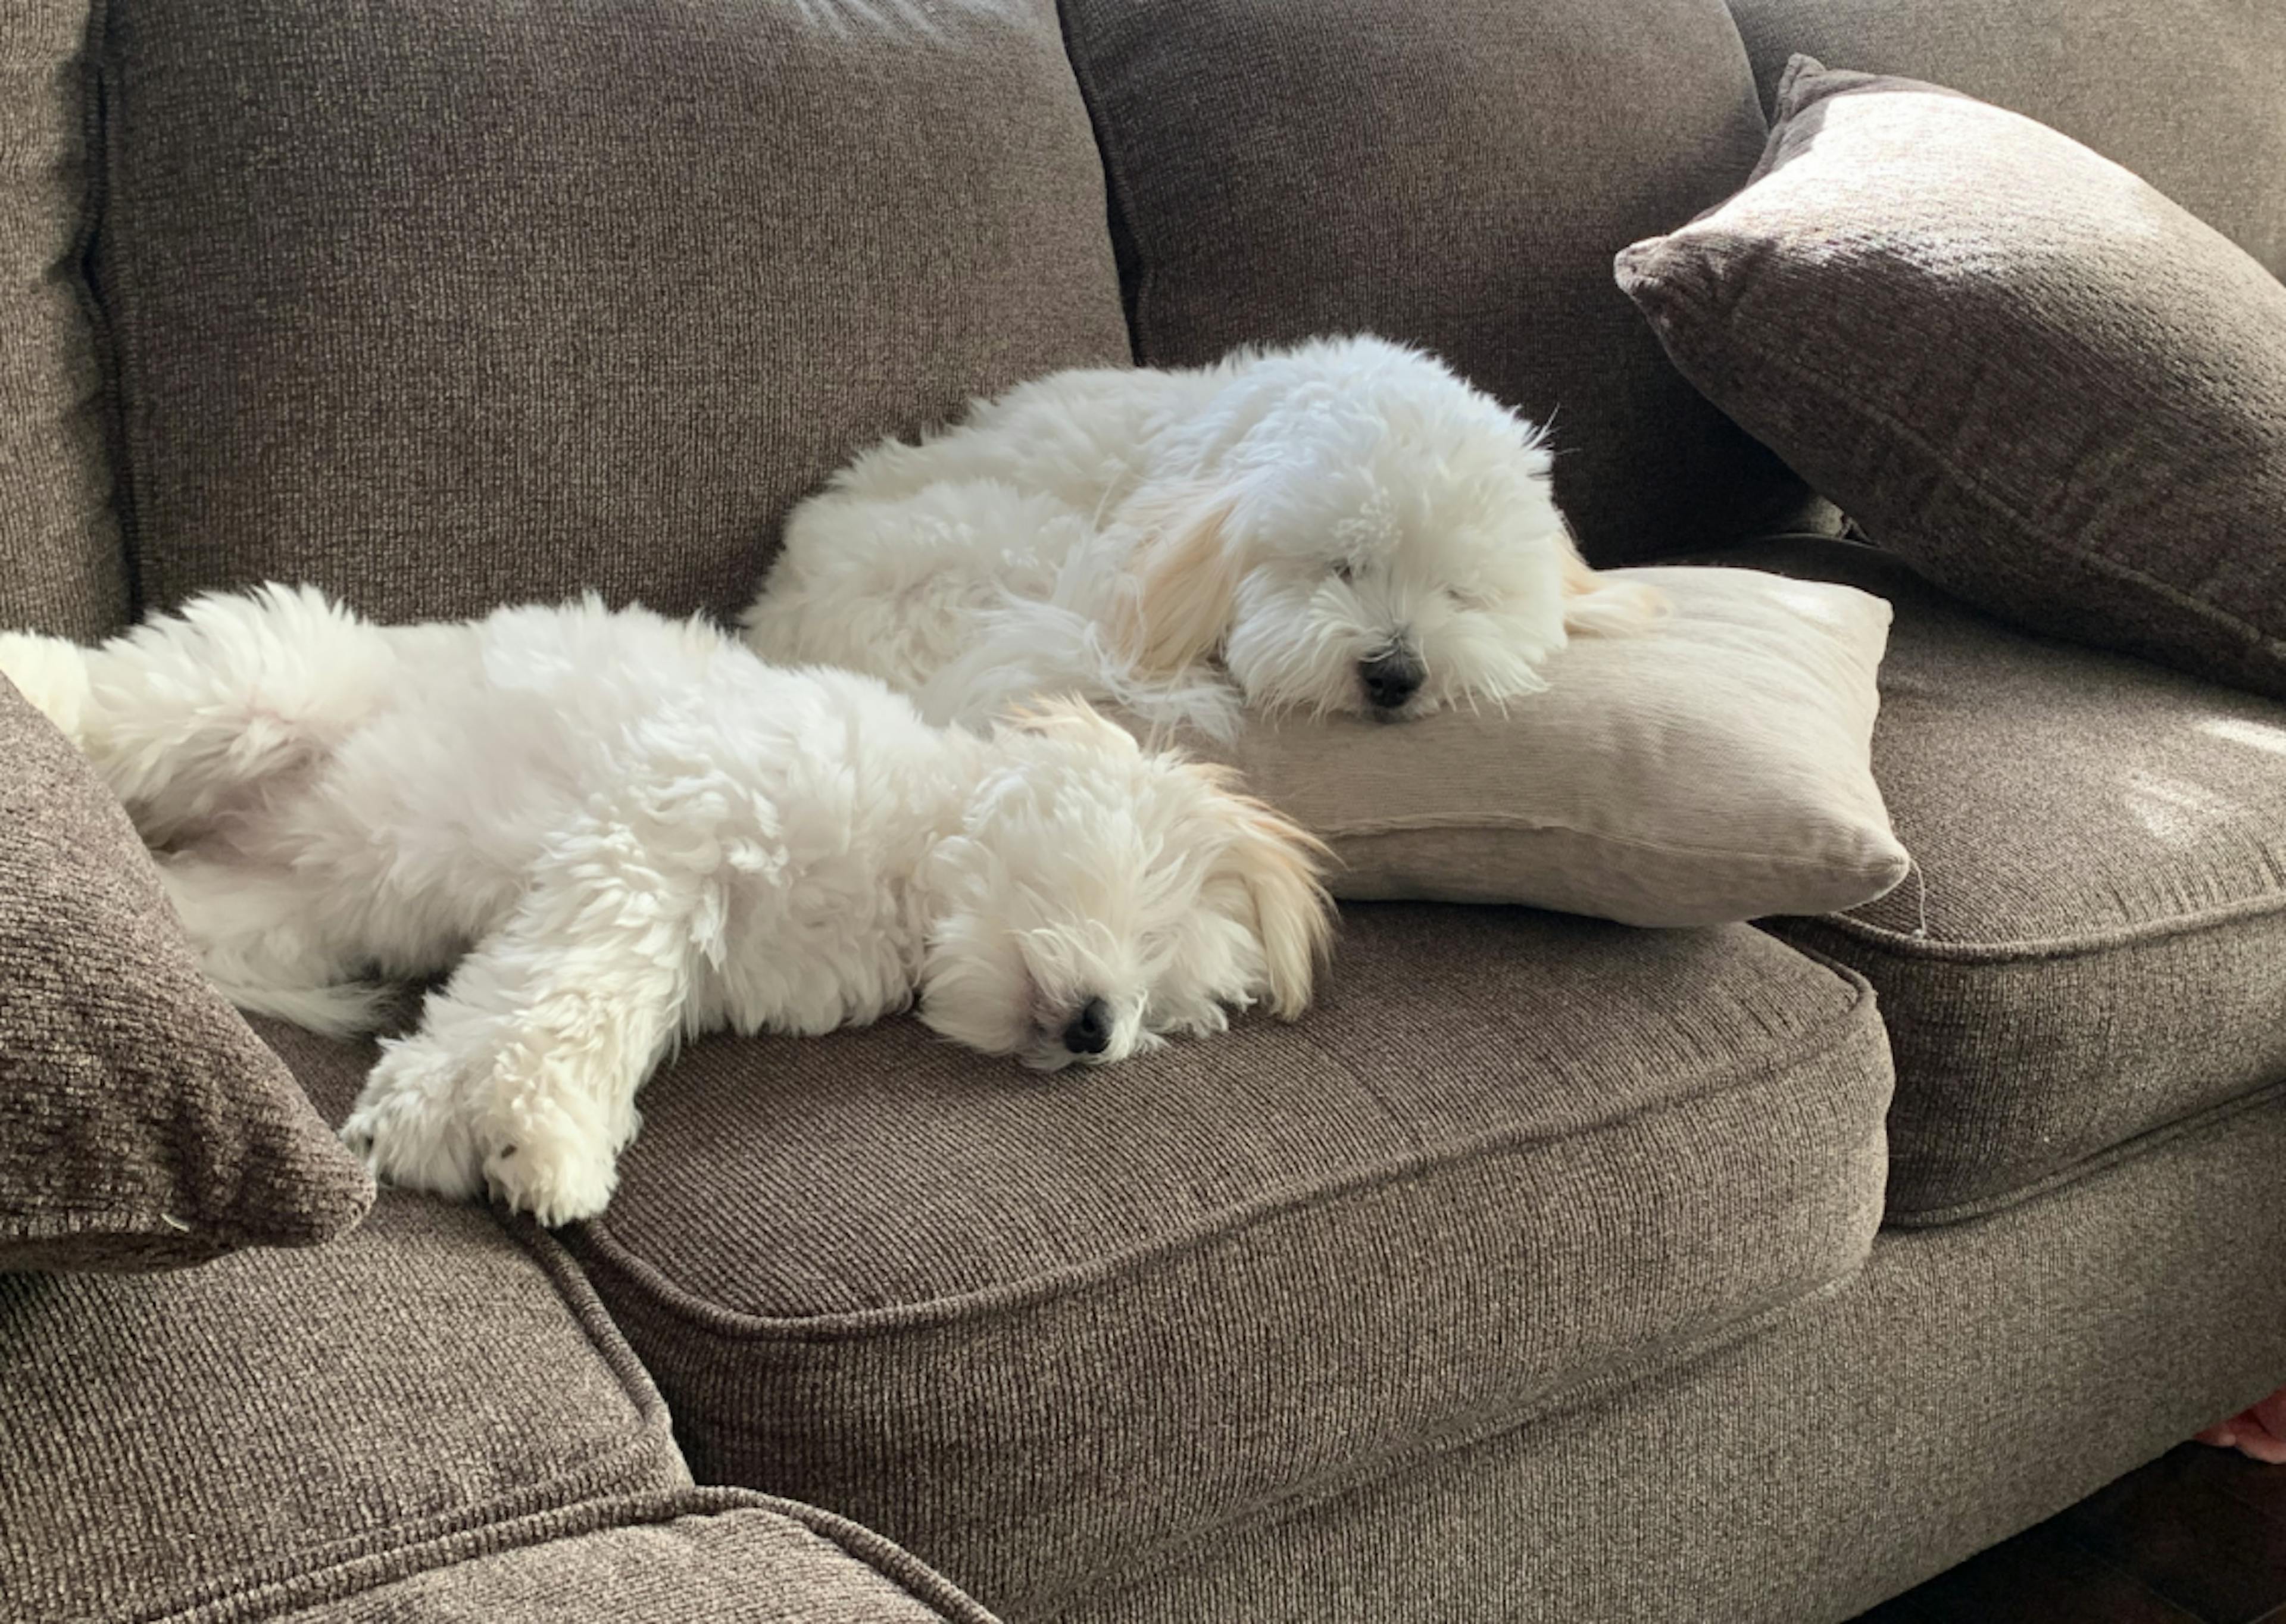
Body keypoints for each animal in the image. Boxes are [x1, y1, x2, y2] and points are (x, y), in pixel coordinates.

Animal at [0, 590, 1335, 1226]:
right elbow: (580, 991)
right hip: (271, 684)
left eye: (1170, 1010)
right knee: (114, 693)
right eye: (1147, 917)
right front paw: (530, 1128)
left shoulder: (679, 935)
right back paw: (37, 688)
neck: (905, 857)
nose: (1103, 1031)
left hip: (269, 911)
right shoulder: (661, 838)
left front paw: (481, 1125)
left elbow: (547, 1007)